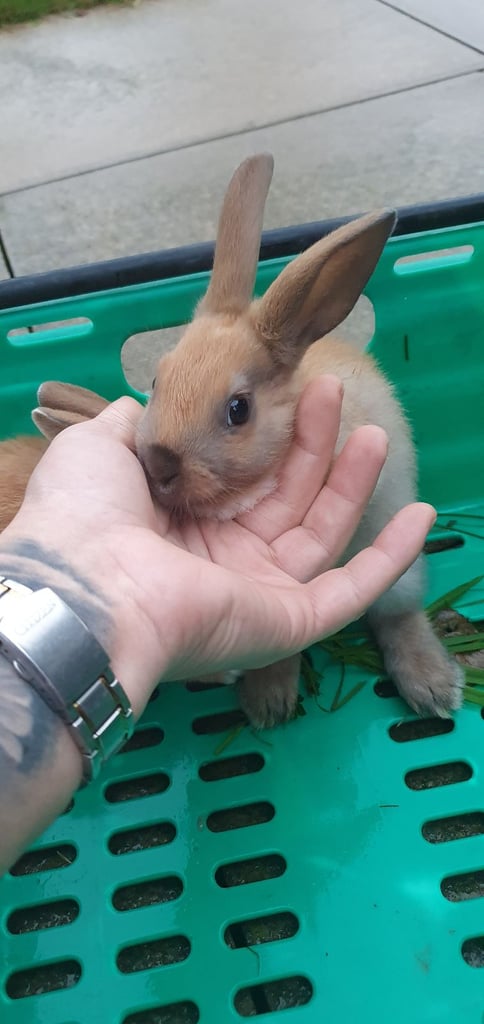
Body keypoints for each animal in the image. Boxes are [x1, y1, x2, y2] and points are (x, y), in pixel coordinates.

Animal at [134, 153, 463, 729]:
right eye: (157, 379)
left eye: (238, 410)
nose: (158, 464)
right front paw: (269, 702)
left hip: (399, 565)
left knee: (398, 616)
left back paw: (434, 688)